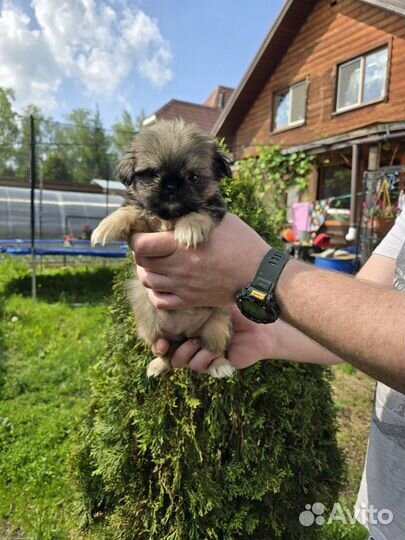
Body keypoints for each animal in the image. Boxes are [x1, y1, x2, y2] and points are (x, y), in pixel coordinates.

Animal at [89, 119, 232, 378]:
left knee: (213, 352)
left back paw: (220, 366)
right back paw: (157, 366)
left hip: (217, 327)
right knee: (165, 353)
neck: (170, 217)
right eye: (152, 173)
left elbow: (200, 210)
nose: (172, 186)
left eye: (193, 176)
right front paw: (107, 226)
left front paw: (190, 228)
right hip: (151, 329)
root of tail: (184, 334)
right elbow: (132, 209)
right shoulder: (145, 225)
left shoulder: (214, 206)